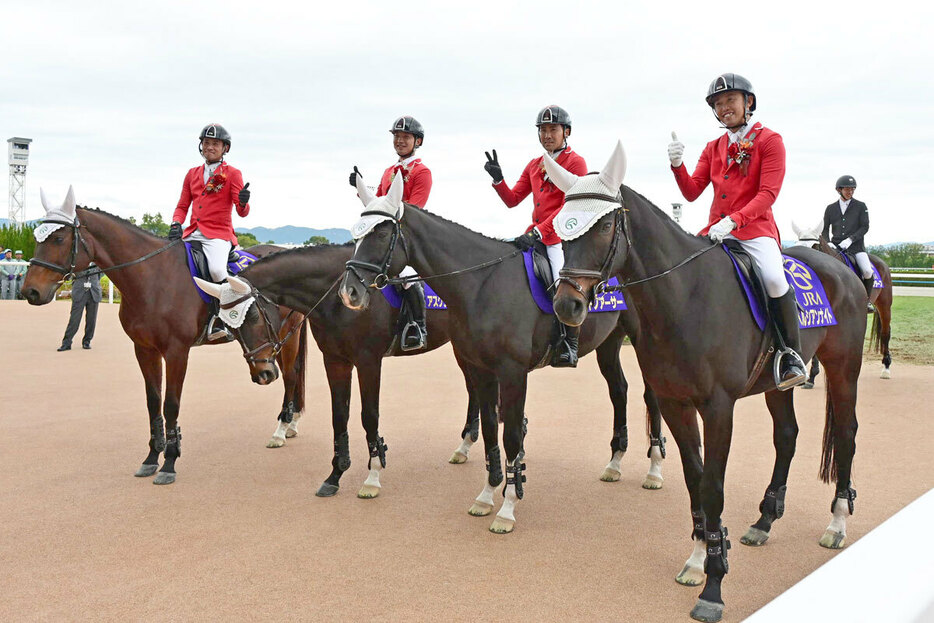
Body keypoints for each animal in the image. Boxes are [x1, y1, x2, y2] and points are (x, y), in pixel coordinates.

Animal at [22, 189, 308, 488]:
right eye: (37, 238)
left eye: (58, 238)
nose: (30, 291)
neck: (152, 277)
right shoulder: (144, 349)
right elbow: (153, 402)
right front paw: (151, 458)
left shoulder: (176, 351)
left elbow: (171, 404)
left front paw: (169, 462)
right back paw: (291, 423)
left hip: (287, 335)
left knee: (290, 375)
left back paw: (280, 430)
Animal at [190, 246, 482, 500]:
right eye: (230, 327)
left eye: (251, 317)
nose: (262, 373)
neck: (336, 298)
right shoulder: (335, 361)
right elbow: (339, 416)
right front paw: (335, 475)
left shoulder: (368, 362)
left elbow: (369, 416)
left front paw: (373, 477)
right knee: (473, 390)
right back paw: (464, 446)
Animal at [340, 173, 668, 532]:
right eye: (357, 234)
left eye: (382, 233)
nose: (349, 291)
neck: (482, 283)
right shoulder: (481, 370)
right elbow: (489, 431)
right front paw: (487, 494)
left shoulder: (512, 372)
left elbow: (510, 435)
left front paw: (508, 507)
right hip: (609, 345)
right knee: (619, 391)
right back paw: (615, 463)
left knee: (651, 396)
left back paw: (654, 470)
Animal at [548, 144, 872, 620]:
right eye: (561, 227)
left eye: (605, 225)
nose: (567, 305)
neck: (685, 295)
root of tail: (839, 266)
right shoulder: (674, 403)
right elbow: (695, 481)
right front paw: (700, 557)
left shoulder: (719, 408)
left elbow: (714, 488)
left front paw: (713, 588)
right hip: (776, 385)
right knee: (787, 435)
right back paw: (764, 519)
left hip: (844, 366)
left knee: (847, 434)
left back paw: (837, 520)